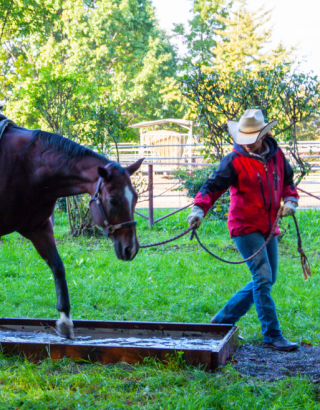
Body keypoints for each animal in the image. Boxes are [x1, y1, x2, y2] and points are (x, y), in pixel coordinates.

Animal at [0, 125, 142, 340]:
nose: (130, 249)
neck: (27, 166)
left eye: (135, 197)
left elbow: (58, 266)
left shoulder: (38, 228)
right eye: (113, 200)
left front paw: (65, 319)